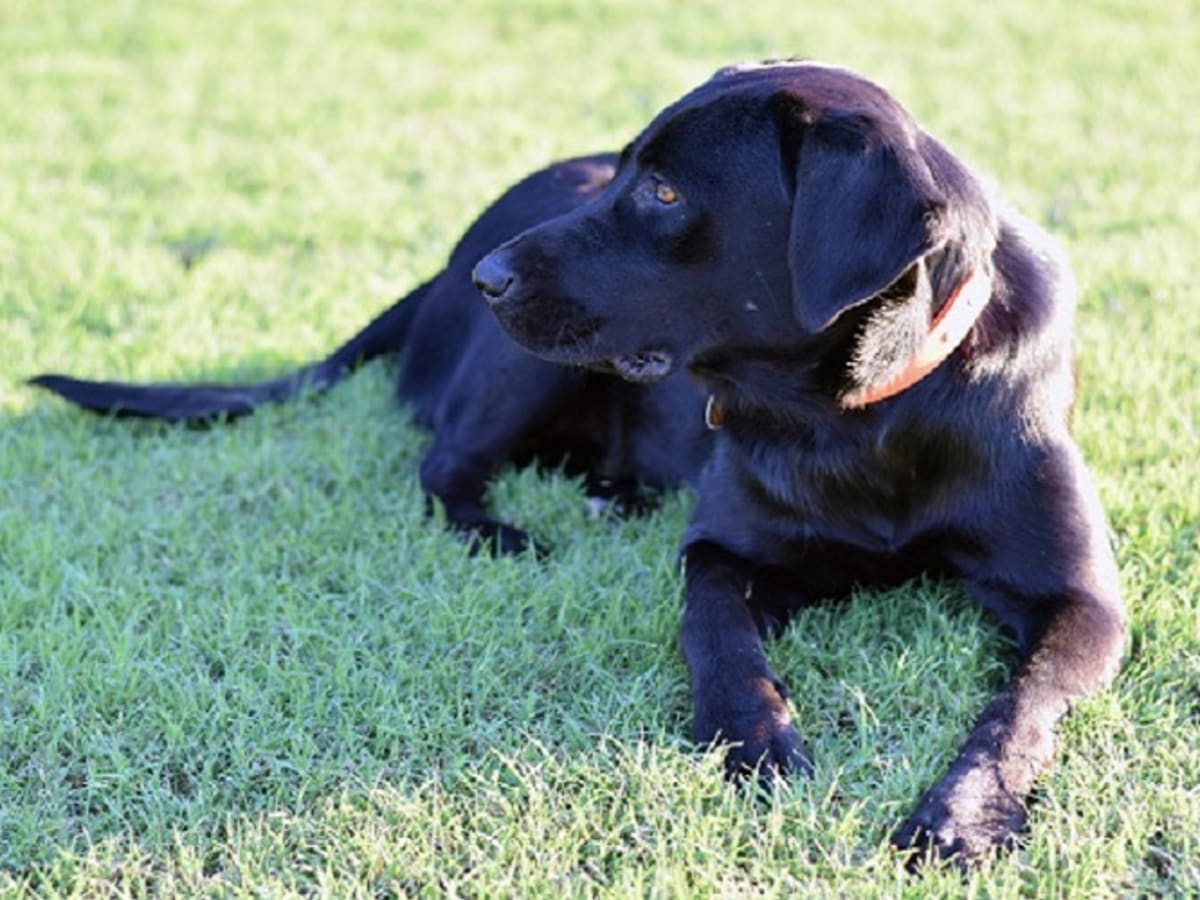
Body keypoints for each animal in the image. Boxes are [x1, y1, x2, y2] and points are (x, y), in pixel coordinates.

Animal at [475, 61, 1123, 868]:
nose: (486, 276)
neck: (857, 415)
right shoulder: (719, 554)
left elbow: (1021, 705)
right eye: (626, 170)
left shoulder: (1082, 601)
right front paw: (755, 743)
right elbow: (717, 637)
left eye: (664, 193)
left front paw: (963, 814)